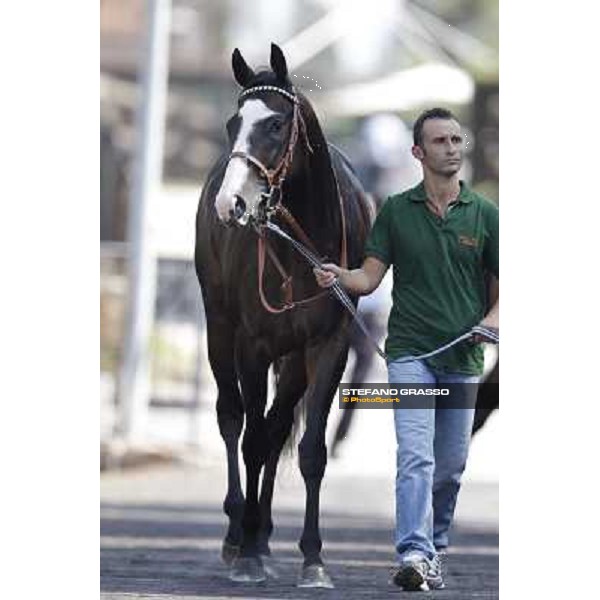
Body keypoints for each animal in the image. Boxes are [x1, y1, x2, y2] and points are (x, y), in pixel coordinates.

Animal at [195, 44, 372, 588]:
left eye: (275, 124)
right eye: (233, 123)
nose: (230, 203)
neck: (303, 246)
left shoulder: (330, 345)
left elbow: (309, 448)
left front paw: (313, 559)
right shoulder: (251, 345)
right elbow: (249, 439)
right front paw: (247, 554)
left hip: (293, 360)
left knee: (276, 429)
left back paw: (263, 534)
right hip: (219, 327)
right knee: (233, 420)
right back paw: (239, 534)